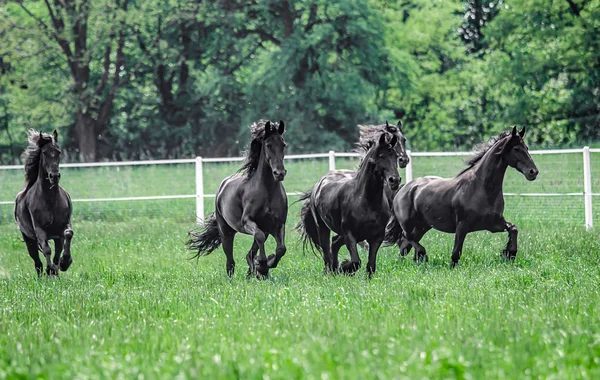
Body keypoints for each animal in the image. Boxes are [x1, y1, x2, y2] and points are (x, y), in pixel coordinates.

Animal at [14, 131, 74, 276]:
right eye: (45, 153)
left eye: (58, 151)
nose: (54, 176)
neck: (50, 200)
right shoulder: (40, 230)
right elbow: (46, 250)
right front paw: (50, 269)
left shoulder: (63, 227)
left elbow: (68, 234)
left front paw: (65, 262)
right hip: (29, 240)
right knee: (37, 262)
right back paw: (45, 273)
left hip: (56, 238)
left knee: (56, 254)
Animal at [189, 120, 290, 278]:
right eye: (268, 145)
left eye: (283, 144)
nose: (279, 173)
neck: (267, 190)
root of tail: (222, 187)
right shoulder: (247, 221)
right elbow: (259, 238)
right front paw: (262, 265)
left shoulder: (277, 225)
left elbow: (281, 249)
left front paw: (265, 265)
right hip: (226, 233)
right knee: (230, 261)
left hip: (264, 230)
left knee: (250, 253)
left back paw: (254, 272)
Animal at [298, 131, 400, 276]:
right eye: (381, 155)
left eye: (396, 156)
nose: (394, 180)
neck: (367, 201)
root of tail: (317, 186)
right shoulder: (349, 234)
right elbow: (356, 262)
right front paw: (344, 267)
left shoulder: (376, 237)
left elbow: (371, 266)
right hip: (323, 227)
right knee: (326, 250)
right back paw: (330, 270)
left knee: (334, 243)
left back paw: (334, 269)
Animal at [386, 126, 540, 266]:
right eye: (516, 149)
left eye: (526, 147)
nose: (533, 172)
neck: (481, 188)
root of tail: (404, 189)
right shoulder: (462, 225)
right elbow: (456, 253)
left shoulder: (493, 223)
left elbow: (513, 228)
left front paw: (510, 253)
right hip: (409, 225)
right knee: (406, 239)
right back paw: (422, 256)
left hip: (422, 227)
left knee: (405, 246)